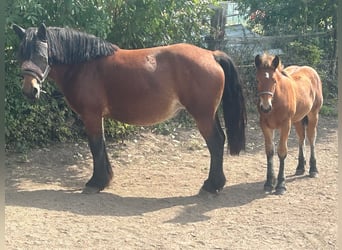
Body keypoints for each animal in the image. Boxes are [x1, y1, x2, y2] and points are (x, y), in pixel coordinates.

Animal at [12, 23, 246, 194]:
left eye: (41, 55)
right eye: (21, 54)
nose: (30, 90)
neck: (84, 66)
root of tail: (211, 54)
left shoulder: (91, 115)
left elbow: (95, 146)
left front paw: (96, 182)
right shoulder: (97, 117)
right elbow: (101, 145)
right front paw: (105, 179)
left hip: (202, 115)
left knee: (215, 143)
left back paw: (211, 185)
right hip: (209, 114)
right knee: (220, 140)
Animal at [254, 53, 324, 195]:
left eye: (274, 81)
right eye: (257, 81)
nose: (265, 107)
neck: (276, 102)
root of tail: (311, 70)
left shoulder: (285, 125)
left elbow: (282, 152)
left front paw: (281, 184)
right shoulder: (265, 126)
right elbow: (269, 151)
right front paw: (269, 182)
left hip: (313, 115)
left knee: (311, 138)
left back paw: (313, 169)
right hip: (297, 119)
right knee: (301, 138)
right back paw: (300, 167)